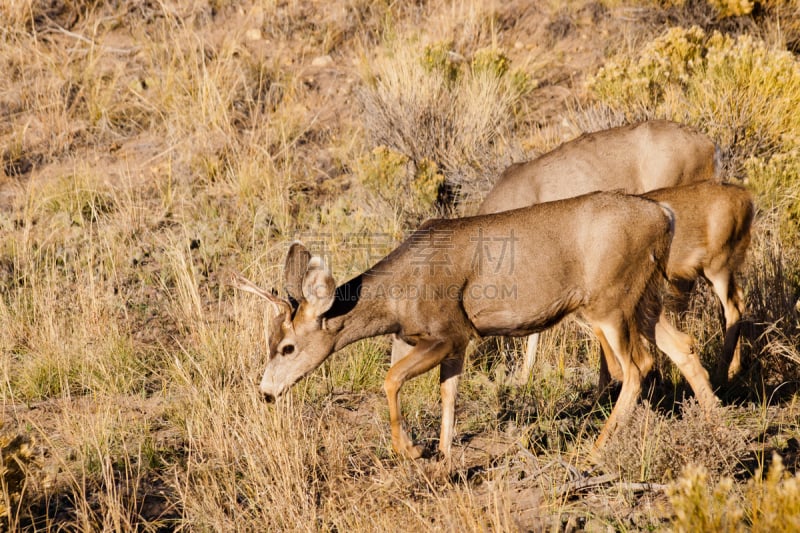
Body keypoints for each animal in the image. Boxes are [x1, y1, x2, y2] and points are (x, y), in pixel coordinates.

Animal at [231, 191, 720, 458]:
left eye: (287, 347)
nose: (267, 392)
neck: (396, 299)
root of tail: (663, 214)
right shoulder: (451, 342)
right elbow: (448, 393)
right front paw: (444, 454)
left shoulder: (447, 331)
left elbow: (390, 380)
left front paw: (411, 450)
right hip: (644, 296)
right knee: (682, 345)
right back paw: (716, 422)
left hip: (608, 300)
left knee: (635, 368)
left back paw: (596, 449)